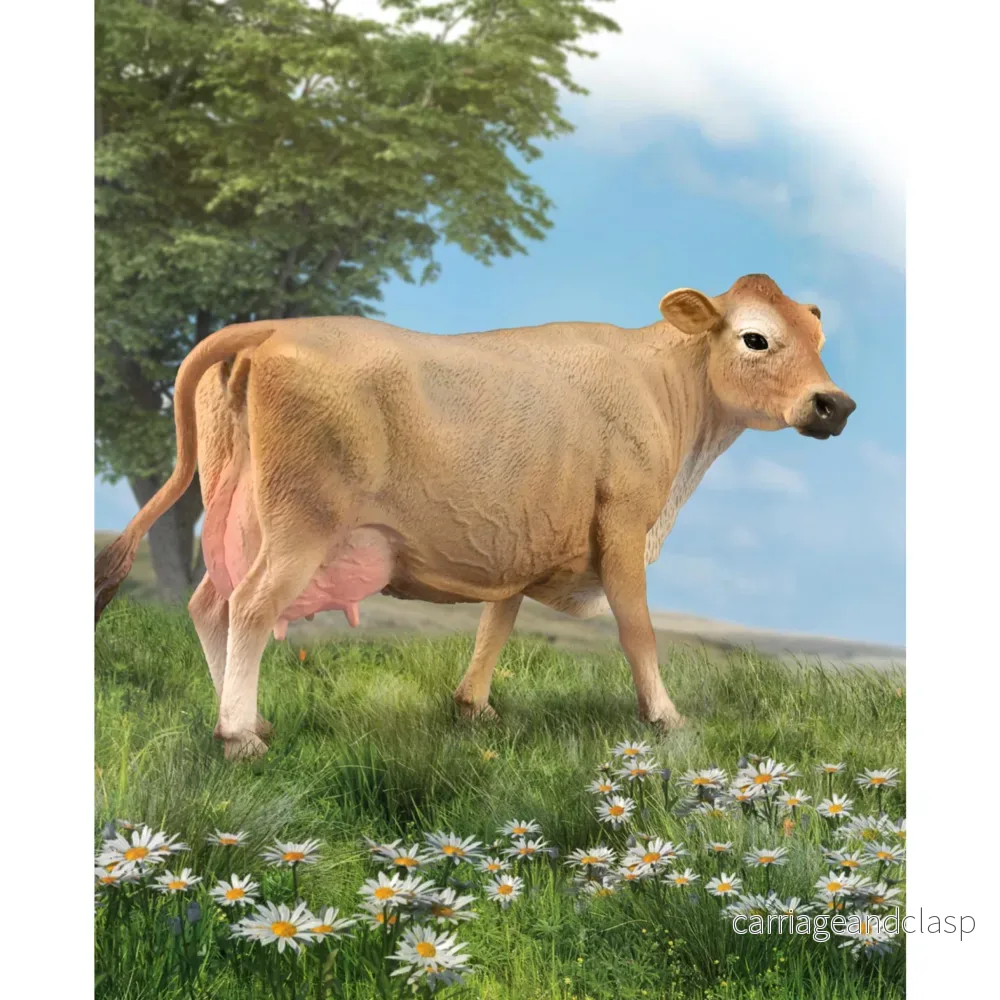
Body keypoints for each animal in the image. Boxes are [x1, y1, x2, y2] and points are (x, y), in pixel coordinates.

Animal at [95, 274, 855, 759]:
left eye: (818, 338)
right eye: (756, 339)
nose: (835, 404)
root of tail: (273, 327)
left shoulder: (521, 534)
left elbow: (498, 622)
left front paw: (473, 708)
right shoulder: (622, 525)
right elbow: (638, 631)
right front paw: (667, 718)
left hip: (239, 506)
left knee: (208, 602)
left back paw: (251, 717)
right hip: (302, 520)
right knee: (249, 607)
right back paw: (238, 736)